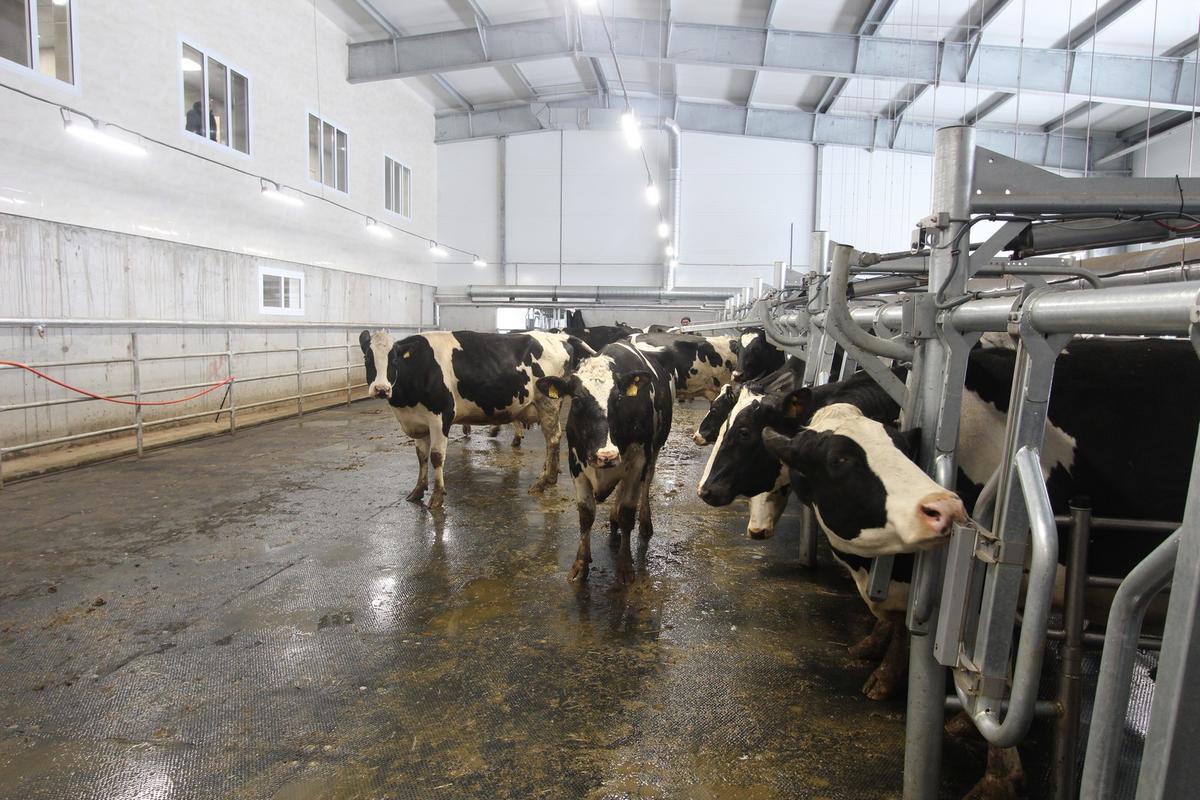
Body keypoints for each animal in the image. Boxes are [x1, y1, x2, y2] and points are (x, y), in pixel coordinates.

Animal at [359, 329, 592, 508]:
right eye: (367, 358)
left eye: (394, 359)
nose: (381, 389)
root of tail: (559, 336)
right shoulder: (417, 422)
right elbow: (421, 457)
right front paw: (417, 490)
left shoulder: (440, 417)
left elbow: (436, 457)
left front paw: (437, 496)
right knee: (552, 440)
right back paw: (549, 475)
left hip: (548, 403)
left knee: (552, 439)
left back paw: (544, 481)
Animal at [536, 341, 675, 585]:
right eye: (577, 400)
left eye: (618, 399)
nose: (606, 455)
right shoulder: (576, 463)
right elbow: (586, 515)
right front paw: (580, 565)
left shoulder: (638, 461)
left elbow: (628, 513)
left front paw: (625, 566)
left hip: (655, 449)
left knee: (646, 483)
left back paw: (644, 523)